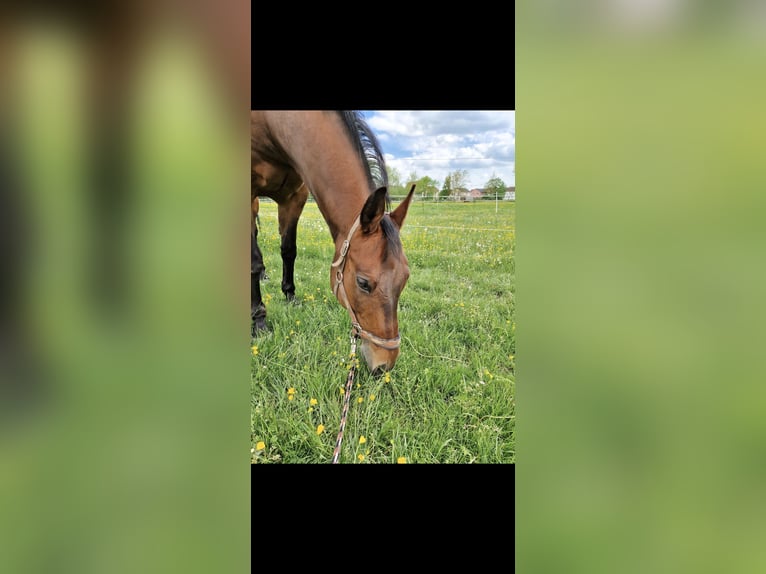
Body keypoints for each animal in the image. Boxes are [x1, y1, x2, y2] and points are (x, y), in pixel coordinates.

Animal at [251, 111, 415, 375]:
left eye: (405, 278)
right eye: (363, 283)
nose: (384, 365)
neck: (273, 124)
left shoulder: (295, 196)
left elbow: (289, 250)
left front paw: (290, 296)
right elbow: (254, 262)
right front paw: (259, 319)